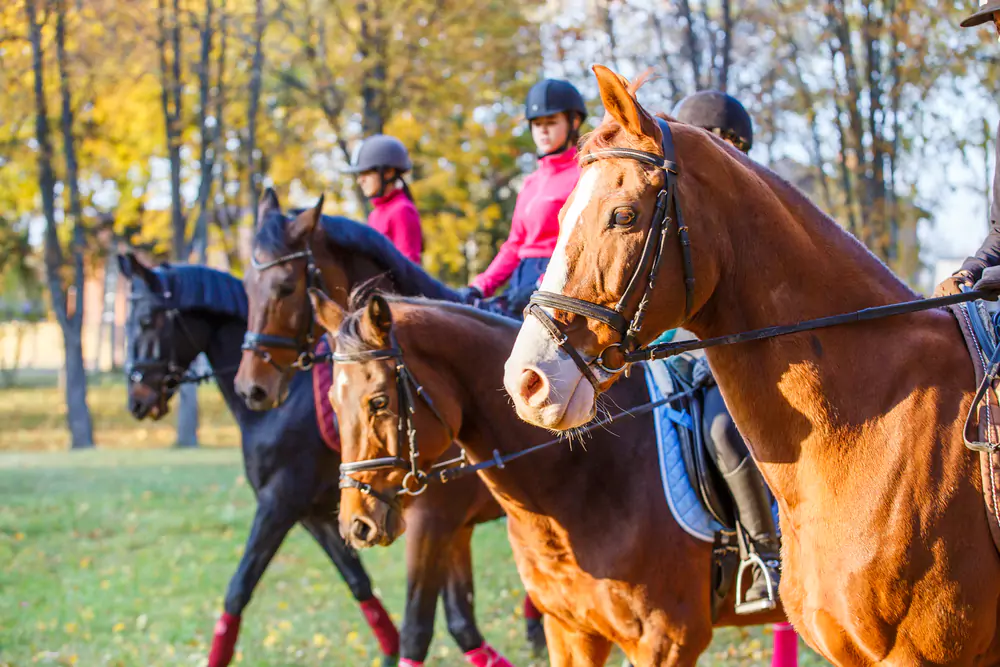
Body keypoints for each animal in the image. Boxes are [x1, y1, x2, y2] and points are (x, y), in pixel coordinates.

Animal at [231, 190, 540, 664]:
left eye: (285, 287)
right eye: (246, 286)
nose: (252, 387)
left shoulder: (433, 522)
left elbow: (421, 626)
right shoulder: (444, 526)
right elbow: (459, 620)